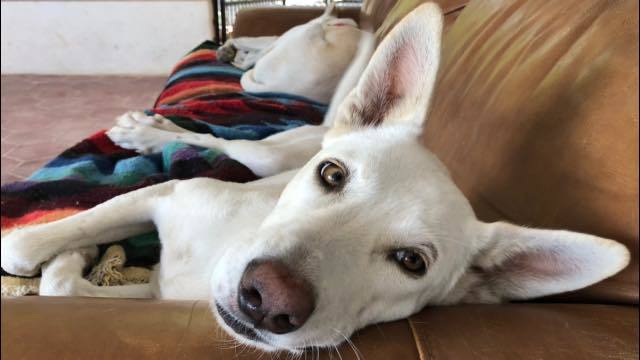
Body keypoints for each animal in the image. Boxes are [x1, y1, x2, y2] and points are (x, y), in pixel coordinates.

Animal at [0, 3, 632, 354]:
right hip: (263, 156)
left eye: (412, 262)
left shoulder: (160, 294)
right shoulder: (170, 193)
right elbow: (36, 245)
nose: (266, 301)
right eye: (333, 174)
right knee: (226, 145)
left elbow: (64, 288)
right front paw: (56, 249)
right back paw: (146, 133)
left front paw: (77, 261)